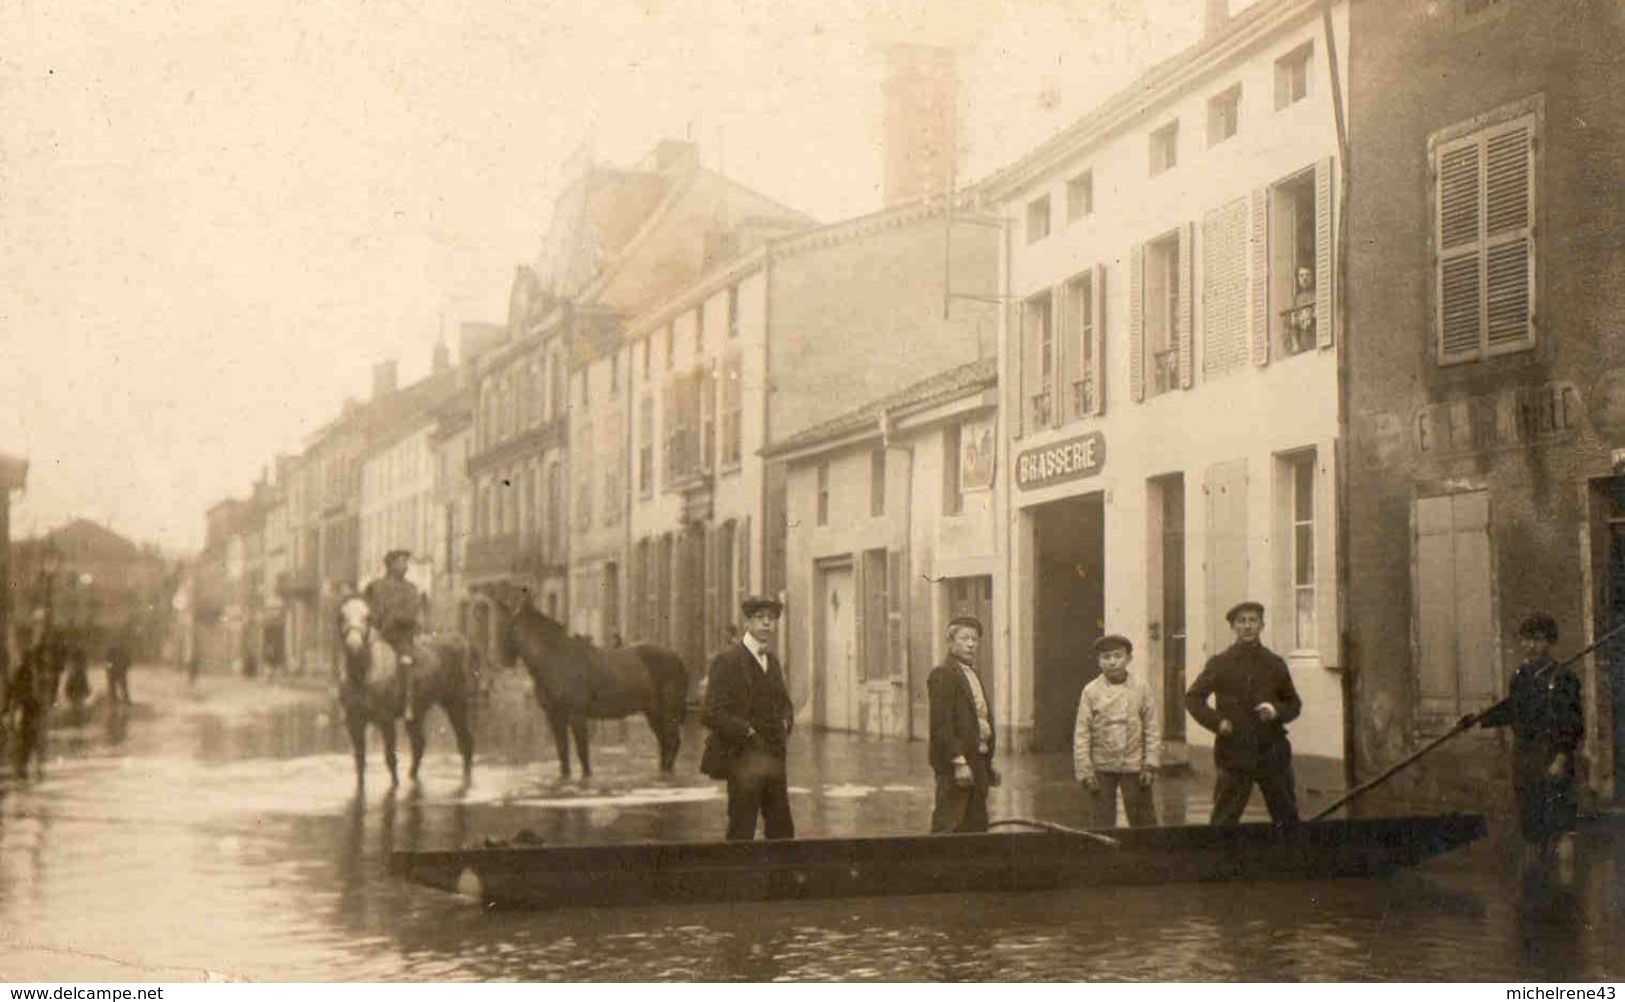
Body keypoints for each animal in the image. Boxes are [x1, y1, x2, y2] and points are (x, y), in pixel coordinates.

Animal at [334, 591, 474, 786]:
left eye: (368, 618)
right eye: (341, 616)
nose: (354, 645)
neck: (362, 676)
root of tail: (460, 640)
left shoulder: (386, 720)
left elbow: (390, 757)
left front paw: (395, 785)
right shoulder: (354, 722)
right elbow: (360, 761)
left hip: (456, 704)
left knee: (465, 741)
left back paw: (466, 779)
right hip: (418, 713)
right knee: (419, 744)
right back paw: (413, 776)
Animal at [481, 581, 685, 776]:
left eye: (505, 625)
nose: (502, 660)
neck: (554, 658)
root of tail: (677, 657)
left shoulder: (577, 715)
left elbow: (582, 754)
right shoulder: (555, 716)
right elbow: (563, 754)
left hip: (667, 712)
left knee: (672, 743)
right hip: (653, 712)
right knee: (666, 745)